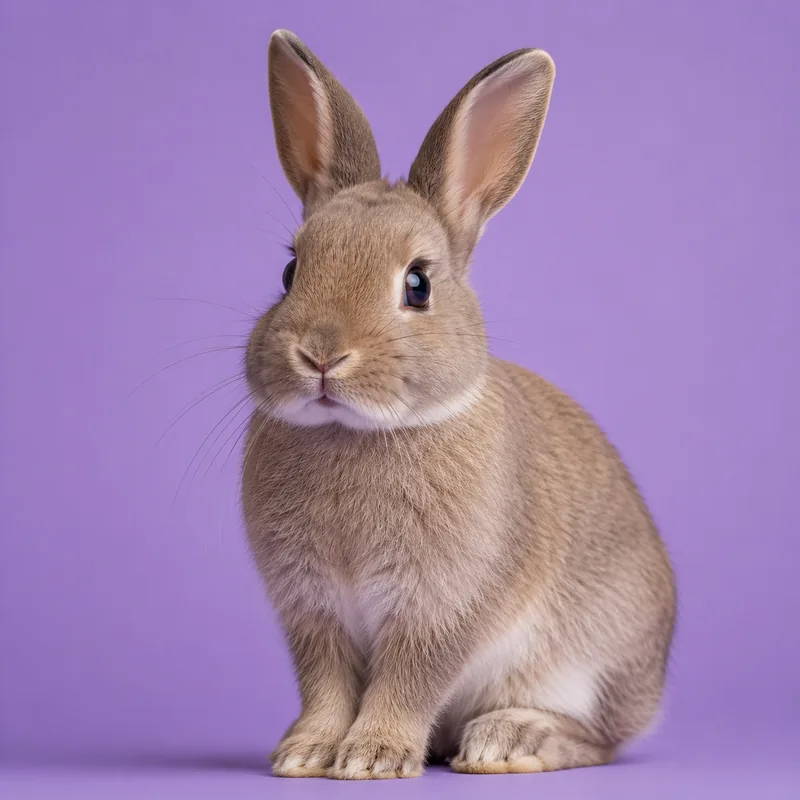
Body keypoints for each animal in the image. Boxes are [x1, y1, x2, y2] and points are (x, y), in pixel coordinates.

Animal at [241, 29, 676, 780]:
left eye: (417, 284)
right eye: (291, 271)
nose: (322, 355)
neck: (356, 431)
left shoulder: (443, 605)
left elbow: (409, 679)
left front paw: (372, 757)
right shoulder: (313, 611)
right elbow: (326, 686)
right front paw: (306, 753)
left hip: (588, 663)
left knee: (599, 739)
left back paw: (510, 740)